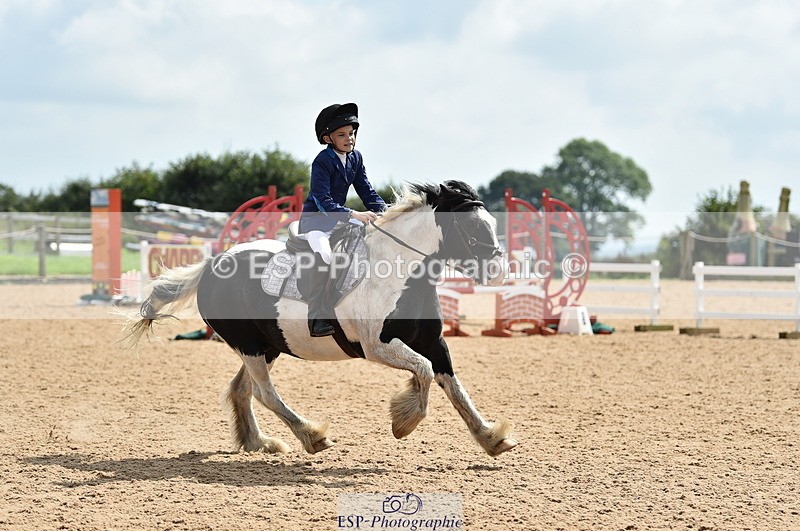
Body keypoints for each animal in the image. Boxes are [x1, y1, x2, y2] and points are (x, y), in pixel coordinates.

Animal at [125, 180, 518, 457]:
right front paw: (404, 421)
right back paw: (311, 436)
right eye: (473, 228)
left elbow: (454, 387)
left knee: (242, 390)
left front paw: (490, 438)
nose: (498, 272)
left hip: (266, 347)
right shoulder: (377, 346)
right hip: (250, 346)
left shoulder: (432, 342)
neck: (402, 273)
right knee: (265, 393)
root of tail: (212, 265)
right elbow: (422, 372)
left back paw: (259, 442)